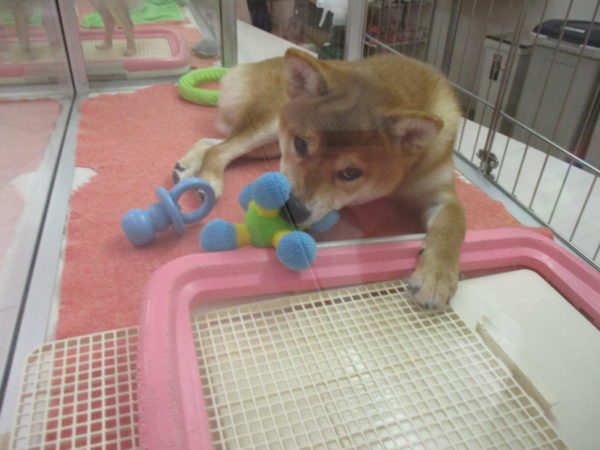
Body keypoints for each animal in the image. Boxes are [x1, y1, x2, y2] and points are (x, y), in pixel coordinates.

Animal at [174, 49, 466, 309]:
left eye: (350, 173)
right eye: (301, 144)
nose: (291, 209)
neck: (402, 178)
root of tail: (250, 65)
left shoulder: (442, 193)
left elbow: (451, 227)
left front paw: (436, 277)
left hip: (269, 146)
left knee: (212, 143)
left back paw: (187, 166)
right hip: (269, 127)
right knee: (221, 149)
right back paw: (209, 180)